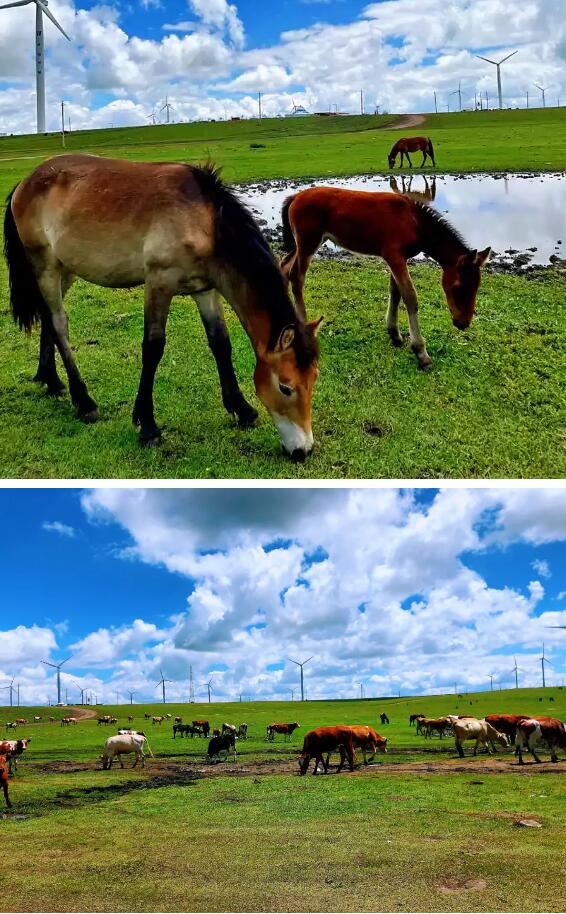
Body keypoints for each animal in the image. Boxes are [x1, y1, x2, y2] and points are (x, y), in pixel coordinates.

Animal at [3, 155, 324, 464]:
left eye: (313, 380)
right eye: (285, 387)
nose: (303, 450)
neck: (205, 221)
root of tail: (25, 183)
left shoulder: (205, 290)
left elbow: (220, 343)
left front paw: (241, 408)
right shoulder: (159, 283)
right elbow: (153, 348)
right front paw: (147, 426)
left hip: (65, 269)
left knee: (48, 319)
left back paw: (51, 380)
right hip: (44, 266)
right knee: (59, 323)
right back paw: (83, 401)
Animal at [282, 185, 490, 366]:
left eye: (477, 286)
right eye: (459, 287)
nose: (463, 323)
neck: (414, 221)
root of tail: (295, 196)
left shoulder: (398, 258)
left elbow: (395, 292)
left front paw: (395, 335)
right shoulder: (394, 256)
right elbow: (409, 296)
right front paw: (421, 352)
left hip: (302, 245)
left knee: (284, 265)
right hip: (308, 243)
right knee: (297, 277)